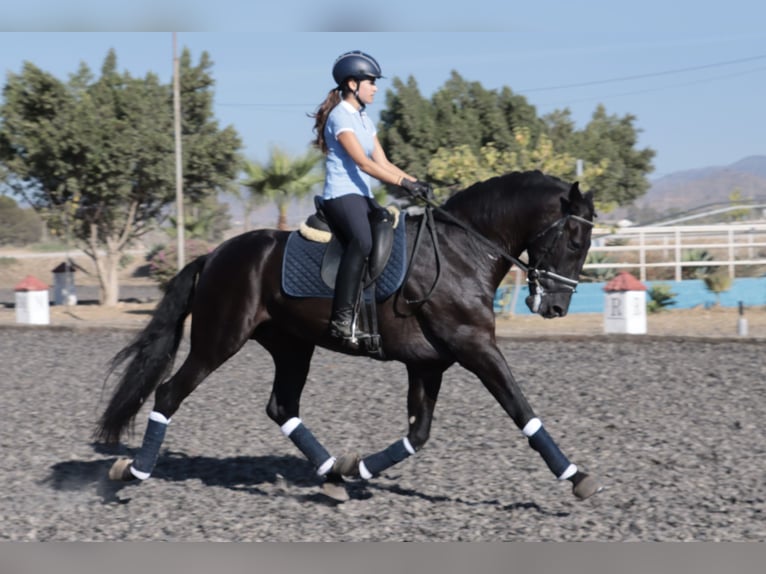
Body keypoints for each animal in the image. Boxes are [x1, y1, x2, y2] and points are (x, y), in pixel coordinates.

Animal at [96, 172, 604, 504]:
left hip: (292, 346)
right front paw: (577, 476)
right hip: (218, 341)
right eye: (575, 241)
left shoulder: (428, 363)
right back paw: (132, 472)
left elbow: (418, 434)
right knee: (168, 393)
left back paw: (333, 477)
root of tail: (215, 254)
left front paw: (354, 468)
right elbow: (522, 411)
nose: (556, 309)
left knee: (282, 407)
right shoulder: (474, 347)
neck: (462, 252)